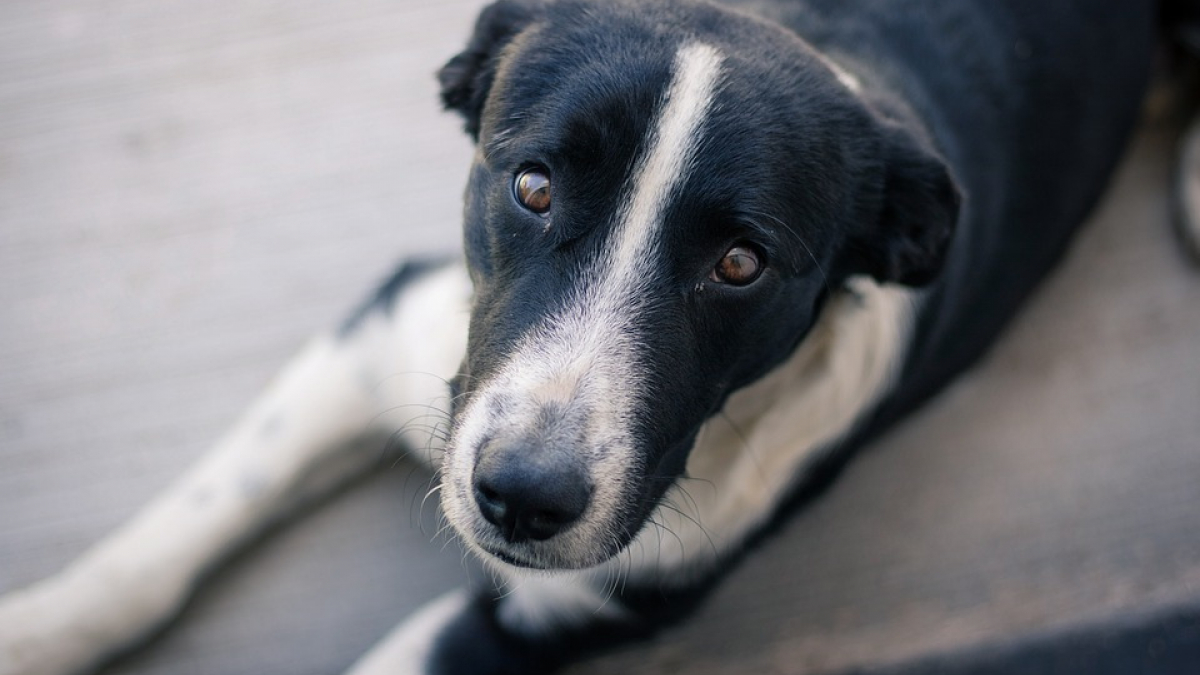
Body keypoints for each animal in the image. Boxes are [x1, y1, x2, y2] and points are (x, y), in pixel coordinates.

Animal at [0, 1, 1190, 672]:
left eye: (741, 263)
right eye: (531, 185)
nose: (522, 499)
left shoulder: (555, 614)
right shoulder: (381, 336)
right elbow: (166, 543)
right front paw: (34, 630)